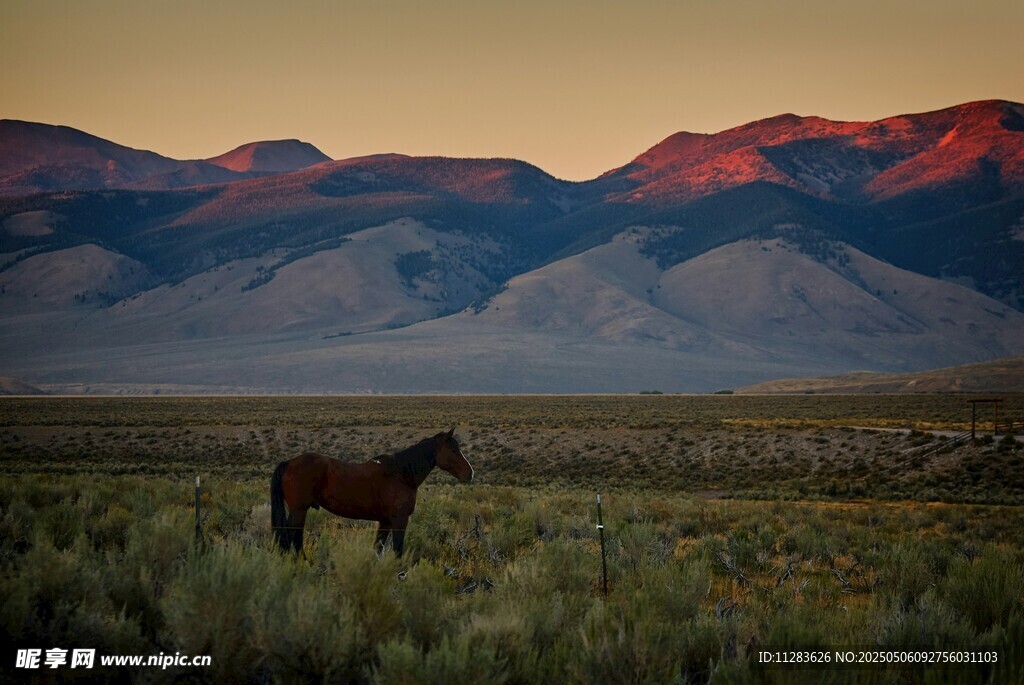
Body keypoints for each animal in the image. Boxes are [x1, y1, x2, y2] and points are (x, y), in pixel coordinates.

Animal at [270, 428, 473, 556]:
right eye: (454, 450)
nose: (470, 473)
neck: (401, 474)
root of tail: (289, 462)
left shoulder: (385, 522)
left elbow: (378, 548)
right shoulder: (399, 520)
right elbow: (397, 551)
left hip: (300, 511)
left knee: (295, 539)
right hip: (299, 510)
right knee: (289, 539)